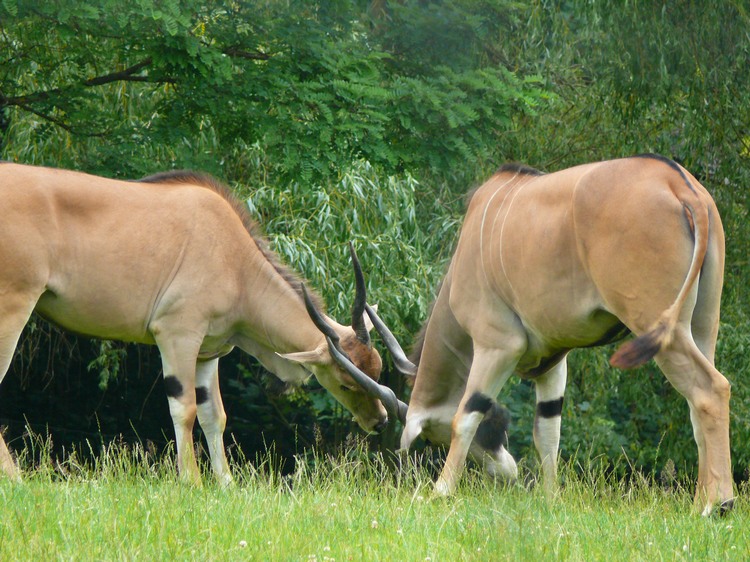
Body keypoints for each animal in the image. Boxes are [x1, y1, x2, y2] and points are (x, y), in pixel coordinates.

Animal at [0, 161, 406, 482]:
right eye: (347, 383)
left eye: (377, 368)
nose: (380, 421)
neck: (236, 261)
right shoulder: (177, 335)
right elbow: (185, 409)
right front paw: (191, 482)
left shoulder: (209, 352)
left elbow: (216, 415)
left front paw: (227, 485)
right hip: (13, 307)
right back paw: (17, 480)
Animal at [368, 155, 736, 516]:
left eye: (433, 439)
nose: (507, 474)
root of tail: (678, 184)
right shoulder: (553, 362)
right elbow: (548, 429)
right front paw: (551, 499)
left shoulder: (497, 345)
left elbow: (465, 415)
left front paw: (440, 492)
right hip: (701, 326)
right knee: (697, 404)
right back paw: (699, 502)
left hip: (655, 325)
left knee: (711, 389)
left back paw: (718, 503)